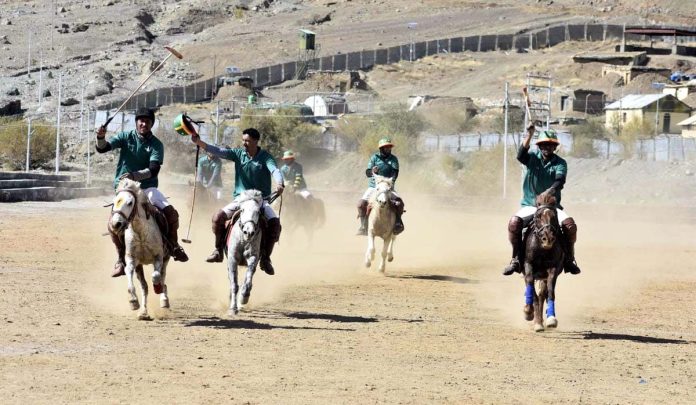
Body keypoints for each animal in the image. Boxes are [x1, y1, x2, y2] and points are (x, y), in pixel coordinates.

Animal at [107, 178, 171, 320]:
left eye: (130, 202)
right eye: (114, 202)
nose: (115, 224)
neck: (140, 232)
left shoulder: (158, 257)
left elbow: (156, 276)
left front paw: (158, 288)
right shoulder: (132, 260)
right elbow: (129, 275)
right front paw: (133, 302)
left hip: (166, 258)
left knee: (163, 276)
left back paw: (164, 299)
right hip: (140, 266)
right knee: (145, 287)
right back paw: (143, 312)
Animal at [520, 193, 564, 332]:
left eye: (554, 216)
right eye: (538, 216)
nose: (548, 238)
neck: (542, 249)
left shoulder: (553, 268)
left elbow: (549, 291)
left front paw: (551, 319)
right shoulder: (528, 265)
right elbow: (531, 289)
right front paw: (528, 312)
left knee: (542, 294)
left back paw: (540, 321)